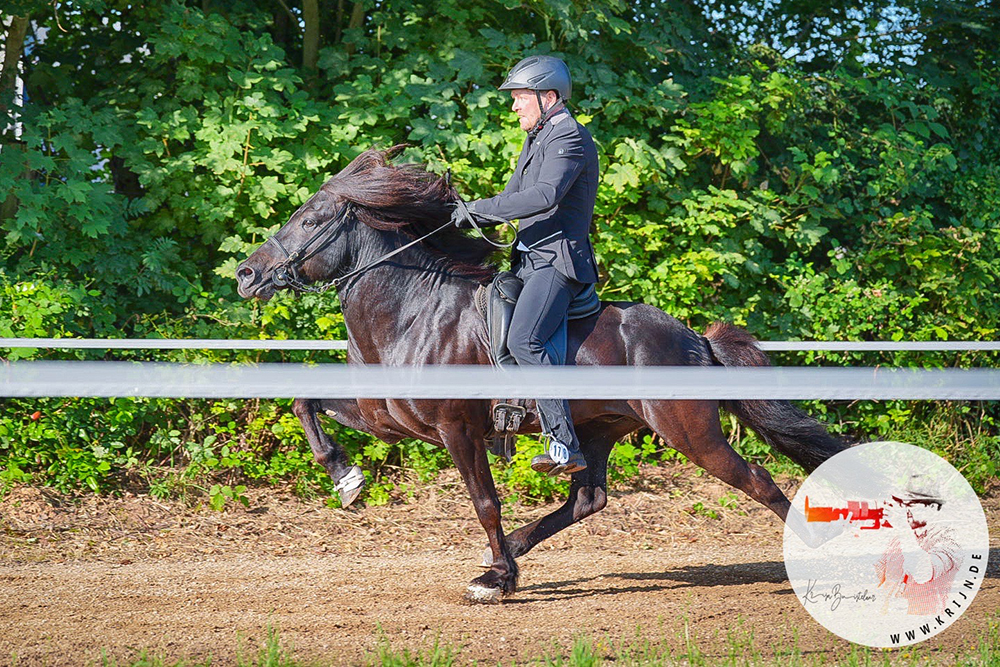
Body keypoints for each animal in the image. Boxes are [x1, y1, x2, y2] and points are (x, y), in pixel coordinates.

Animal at [238, 147, 848, 604]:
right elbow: (305, 403)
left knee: (757, 479)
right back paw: (503, 555)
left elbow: (485, 502)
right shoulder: (387, 419)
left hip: (690, 433)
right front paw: (347, 479)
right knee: (588, 500)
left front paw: (499, 580)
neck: (411, 311)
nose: (246, 274)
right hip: (599, 430)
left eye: (310, 221)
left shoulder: (457, 431)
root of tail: (694, 338)